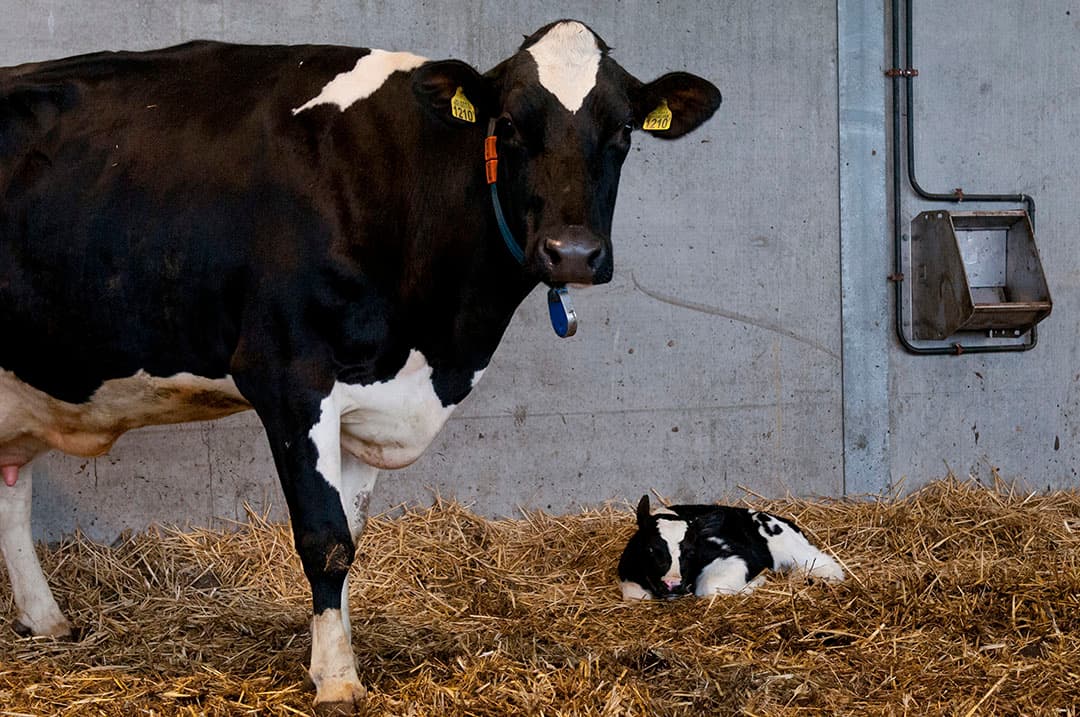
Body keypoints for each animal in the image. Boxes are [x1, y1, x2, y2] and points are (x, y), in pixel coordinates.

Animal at [0, 20, 720, 711]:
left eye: (623, 131)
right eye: (510, 125)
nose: (572, 252)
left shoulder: (368, 396)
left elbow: (352, 532)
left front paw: (327, 658)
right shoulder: (290, 378)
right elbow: (324, 538)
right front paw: (340, 682)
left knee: (13, 491)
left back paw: (47, 620)